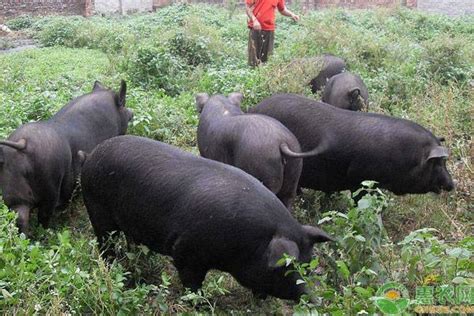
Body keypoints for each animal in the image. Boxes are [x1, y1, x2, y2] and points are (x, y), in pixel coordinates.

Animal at [0, 81, 133, 235]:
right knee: (44, 214)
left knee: (20, 218)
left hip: (12, 194)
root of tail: (22, 142)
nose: (132, 112)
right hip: (50, 186)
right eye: (123, 104)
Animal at [79, 136, 334, 302]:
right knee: (105, 245)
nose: (316, 300)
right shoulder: (185, 249)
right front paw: (199, 303)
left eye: (308, 267)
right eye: (287, 270)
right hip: (97, 210)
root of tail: (90, 155)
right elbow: (192, 283)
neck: (248, 242)